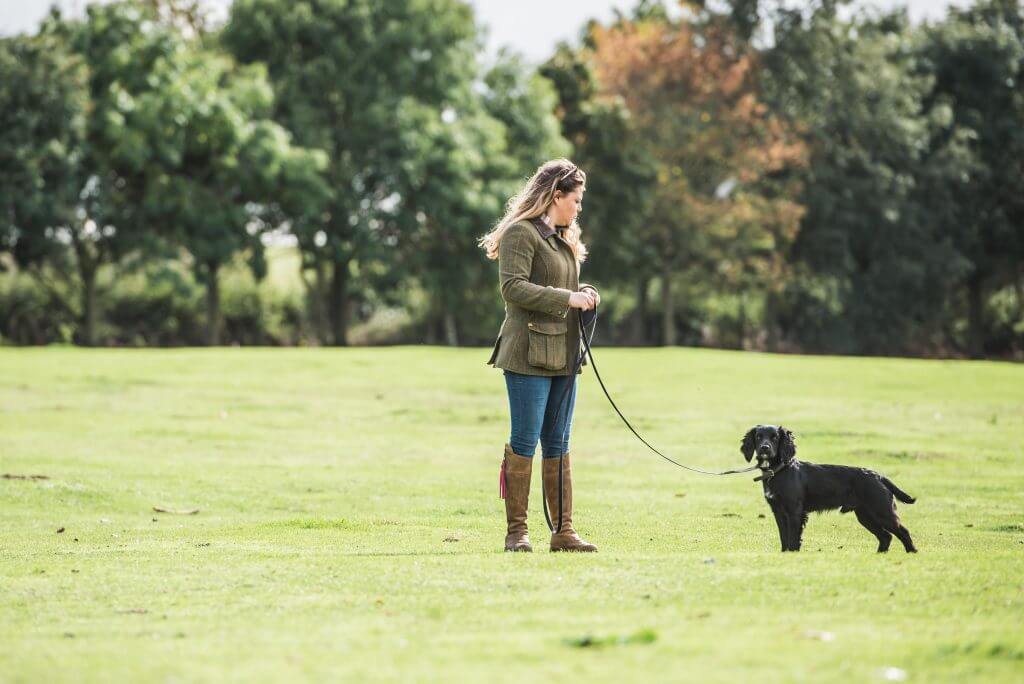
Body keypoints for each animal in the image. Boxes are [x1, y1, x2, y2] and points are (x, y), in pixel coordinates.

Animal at [741, 423, 917, 552]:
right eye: (758, 436)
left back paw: (912, 553)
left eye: (775, 437)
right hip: (866, 515)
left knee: (903, 531)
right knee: (886, 536)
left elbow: (793, 537)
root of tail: (878, 476)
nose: (764, 448)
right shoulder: (778, 510)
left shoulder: (794, 511)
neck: (779, 470)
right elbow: (784, 536)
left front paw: (792, 553)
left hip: (882, 511)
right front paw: (784, 554)